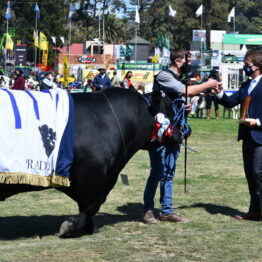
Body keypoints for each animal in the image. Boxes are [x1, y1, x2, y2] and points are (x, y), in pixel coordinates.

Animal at [0, 88, 164, 237]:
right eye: (169, 107)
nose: (178, 133)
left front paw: (90, 227)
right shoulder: (92, 177)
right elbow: (90, 207)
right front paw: (70, 226)